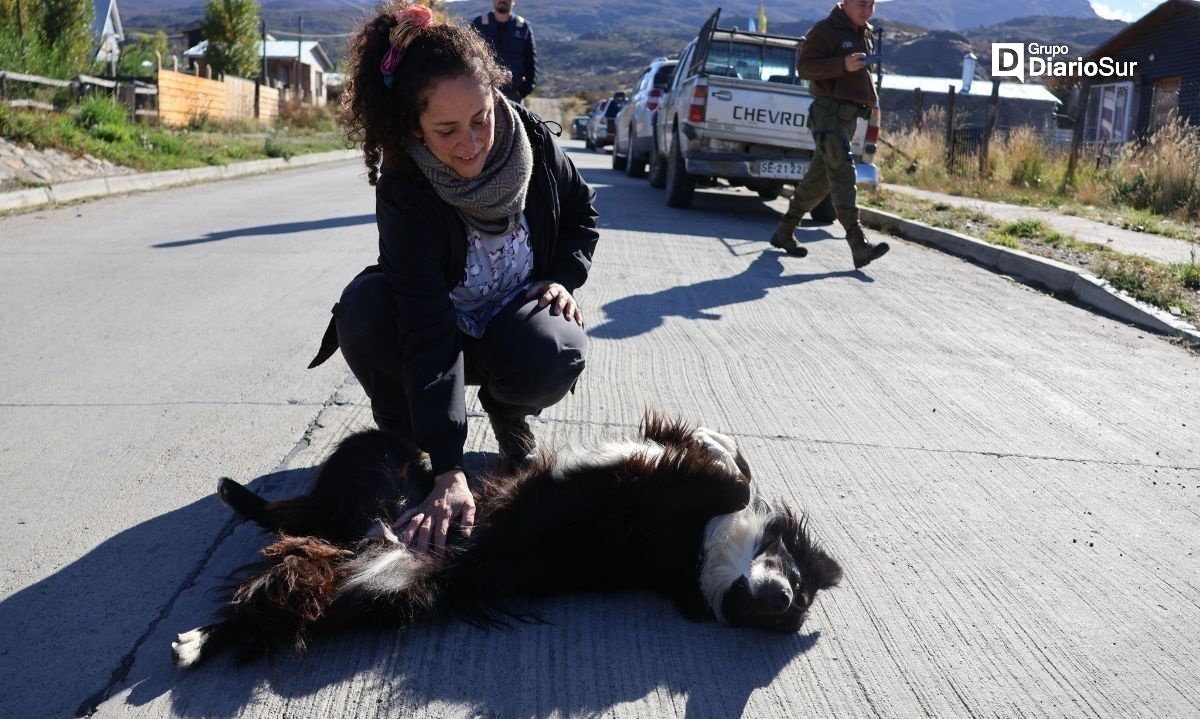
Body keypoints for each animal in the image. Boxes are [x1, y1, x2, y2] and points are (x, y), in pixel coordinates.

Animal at [171, 415, 844, 667]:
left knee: (279, 578)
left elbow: (733, 481)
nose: (783, 599)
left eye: (774, 614)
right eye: (798, 581)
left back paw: (197, 633)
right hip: (375, 491)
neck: (702, 554)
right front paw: (714, 440)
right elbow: (735, 465)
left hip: (363, 552)